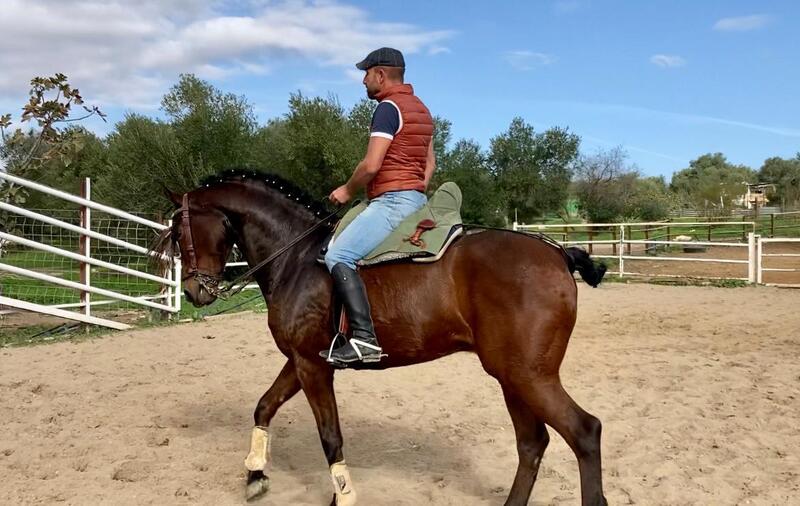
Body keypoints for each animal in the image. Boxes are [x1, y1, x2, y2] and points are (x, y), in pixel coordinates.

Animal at [153, 170, 609, 506]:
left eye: (179, 230)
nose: (194, 291)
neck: (295, 257)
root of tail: (556, 253)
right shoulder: (300, 360)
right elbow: (264, 407)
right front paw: (255, 475)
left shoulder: (313, 367)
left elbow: (330, 436)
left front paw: (343, 497)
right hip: (512, 377)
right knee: (532, 443)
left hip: (529, 376)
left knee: (584, 432)